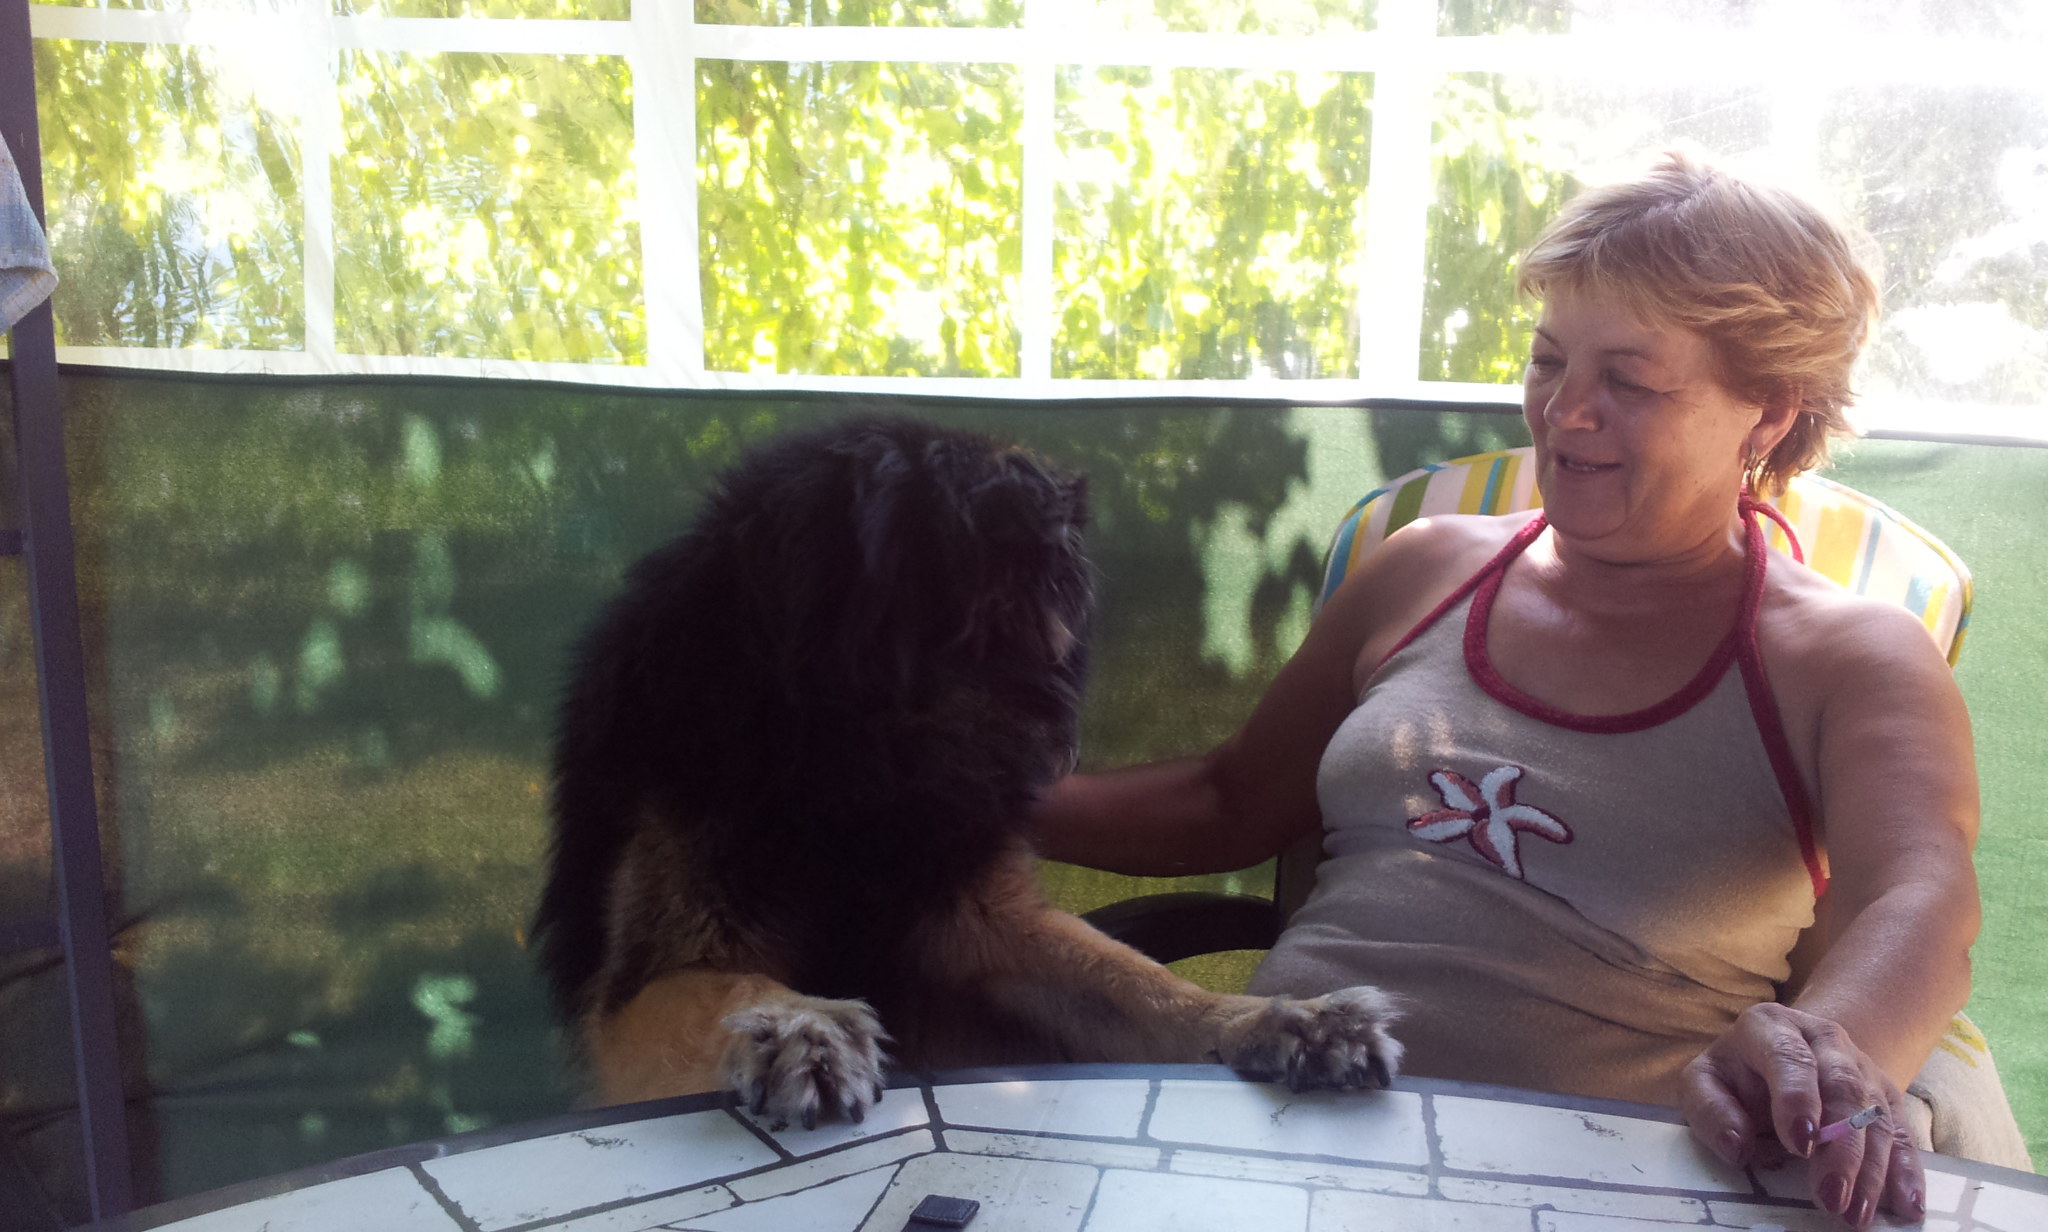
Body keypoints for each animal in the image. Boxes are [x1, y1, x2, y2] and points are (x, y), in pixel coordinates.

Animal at [532, 414, 1399, 1128]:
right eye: (1002, 607)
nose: (1052, 746)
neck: (839, 775)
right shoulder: (640, 991)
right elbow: (733, 986)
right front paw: (801, 1026)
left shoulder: (978, 923)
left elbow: (1145, 985)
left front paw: (1270, 1018)